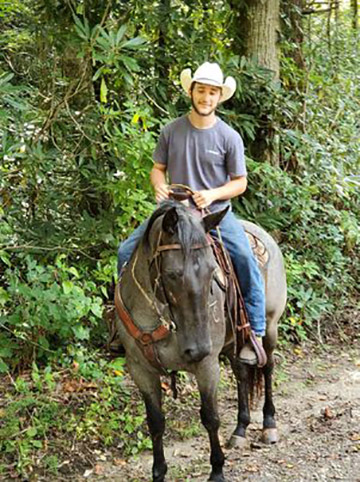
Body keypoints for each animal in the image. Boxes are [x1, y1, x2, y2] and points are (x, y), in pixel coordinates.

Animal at [114, 198, 288, 480]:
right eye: (172, 274)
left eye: (211, 271)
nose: (198, 349)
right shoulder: (140, 369)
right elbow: (155, 422)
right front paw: (158, 472)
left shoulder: (206, 365)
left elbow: (210, 417)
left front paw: (217, 470)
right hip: (233, 343)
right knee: (242, 372)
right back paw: (240, 430)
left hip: (270, 327)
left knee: (267, 367)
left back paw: (269, 425)